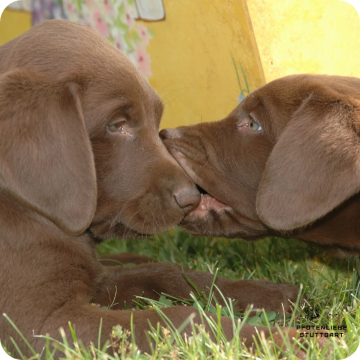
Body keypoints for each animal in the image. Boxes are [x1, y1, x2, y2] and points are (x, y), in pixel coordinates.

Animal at [0, 20, 304, 358]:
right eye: (115, 125)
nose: (191, 198)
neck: (29, 211)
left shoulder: (100, 283)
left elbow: (168, 272)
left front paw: (272, 294)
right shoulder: (42, 324)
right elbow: (181, 317)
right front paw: (288, 340)